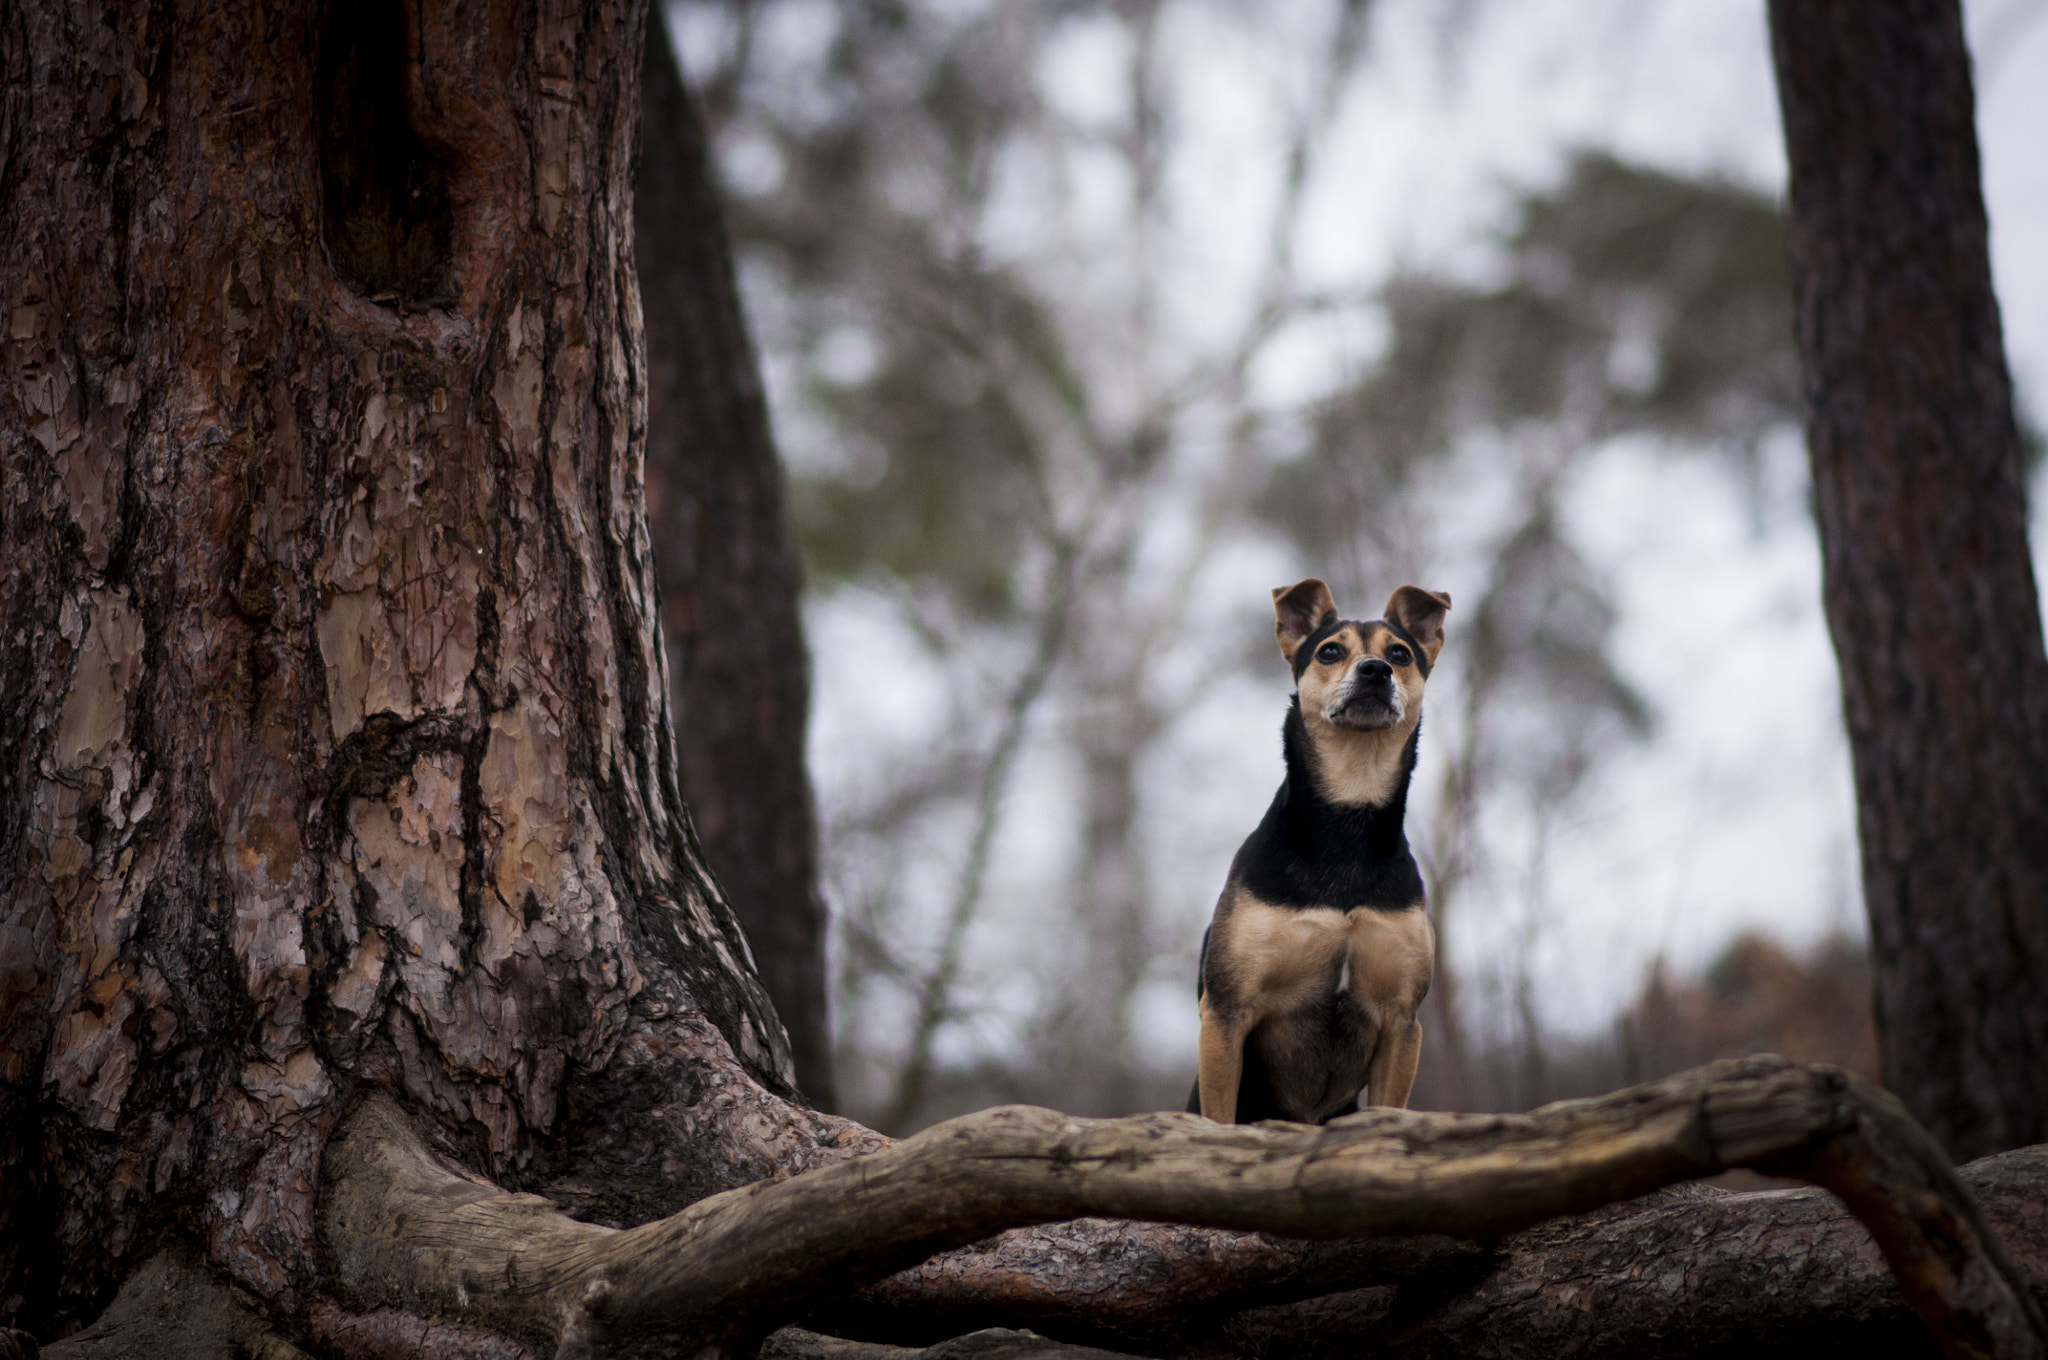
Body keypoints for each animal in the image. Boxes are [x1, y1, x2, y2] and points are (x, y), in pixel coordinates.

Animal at [1196, 577, 1449, 1122]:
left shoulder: (1402, 1023)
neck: (1349, 816)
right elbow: (1217, 1118)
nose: (1375, 670)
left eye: (1399, 654)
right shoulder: (1225, 1013)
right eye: (1330, 651)